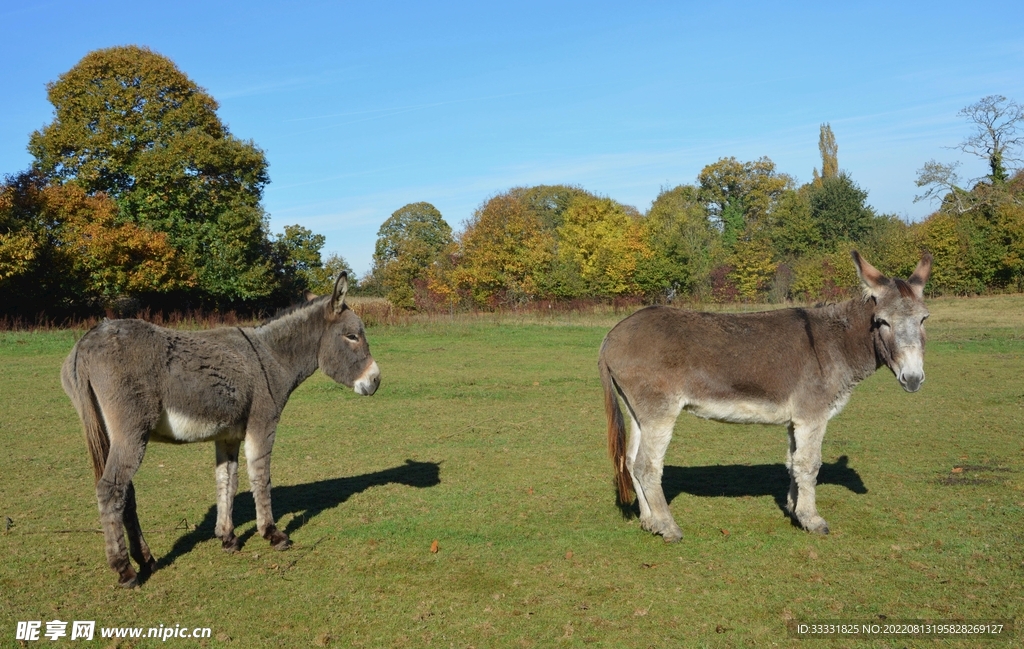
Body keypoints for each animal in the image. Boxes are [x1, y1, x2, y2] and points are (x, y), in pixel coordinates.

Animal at [61, 274, 380, 587]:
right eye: (352, 336)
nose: (376, 381)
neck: (271, 358)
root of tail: (86, 341)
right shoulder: (262, 424)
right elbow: (260, 477)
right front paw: (272, 534)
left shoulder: (228, 435)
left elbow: (227, 480)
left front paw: (227, 537)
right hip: (131, 431)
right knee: (110, 489)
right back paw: (125, 570)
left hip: (112, 433)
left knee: (126, 492)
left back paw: (146, 560)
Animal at [598, 251, 931, 541]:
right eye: (882, 321)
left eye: (924, 319)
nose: (913, 379)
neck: (836, 343)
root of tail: (612, 334)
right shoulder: (812, 416)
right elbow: (809, 464)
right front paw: (813, 520)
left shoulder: (796, 420)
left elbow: (793, 462)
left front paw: (795, 511)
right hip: (659, 411)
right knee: (647, 466)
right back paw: (668, 527)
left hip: (637, 411)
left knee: (631, 462)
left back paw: (649, 522)